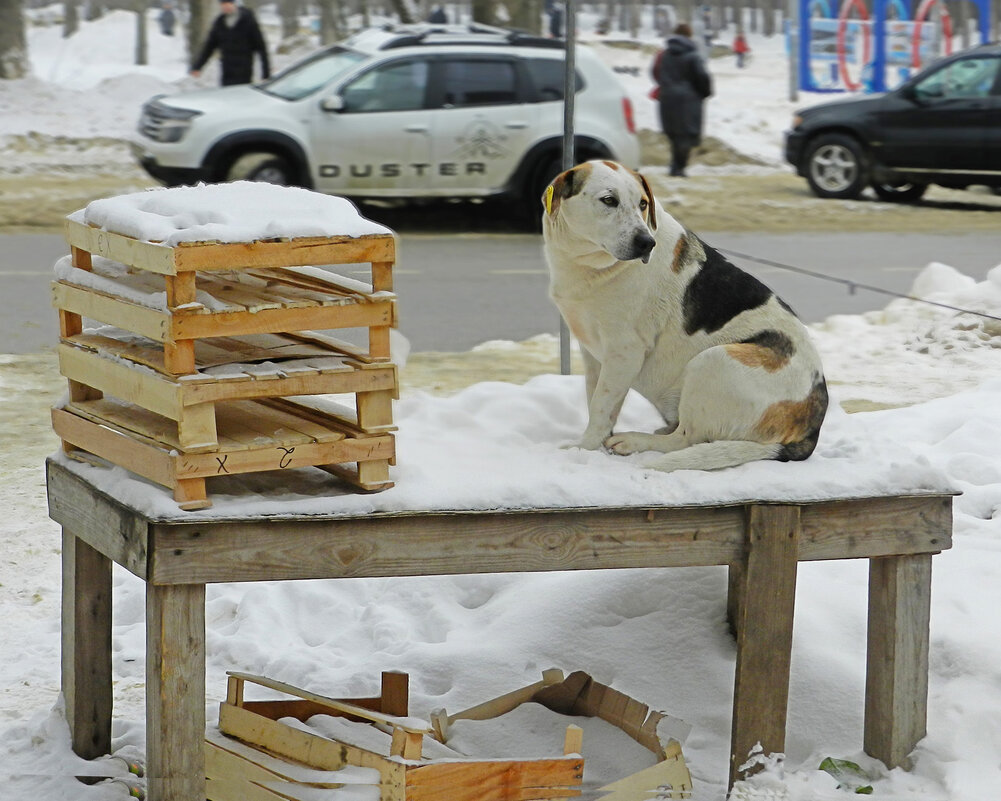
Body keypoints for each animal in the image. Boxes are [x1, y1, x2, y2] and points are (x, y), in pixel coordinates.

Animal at [540, 162, 828, 472]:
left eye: (643, 204)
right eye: (609, 200)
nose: (646, 243)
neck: (593, 266)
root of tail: (813, 428)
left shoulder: (624, 352)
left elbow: (600, 406)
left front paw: (583, 448)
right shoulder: (593, 353)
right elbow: (596, 398)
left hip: (713, 360)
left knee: (686, 439)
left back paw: (634, 441)